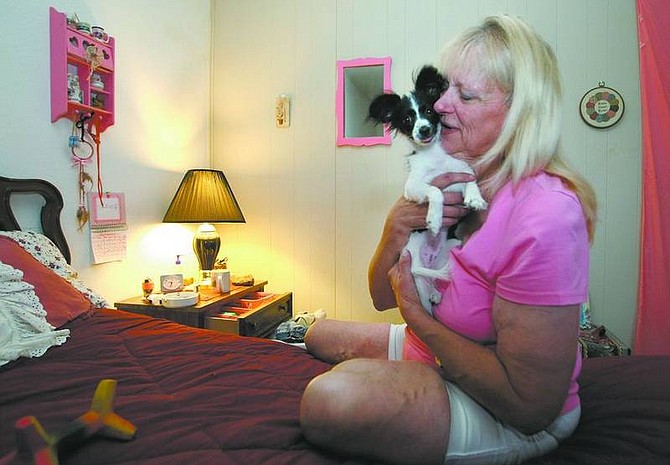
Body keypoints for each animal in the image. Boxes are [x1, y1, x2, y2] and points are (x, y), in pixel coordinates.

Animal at [368, 65, 488, 314]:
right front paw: (434, 218)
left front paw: (475, 198)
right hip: (415, 272)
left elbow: (470, 176)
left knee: (433, 278)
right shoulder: (413, 187)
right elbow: (435, 191)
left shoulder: (458, 171)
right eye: (407, 119)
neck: (435, 157)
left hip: (452, 247)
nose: (423, 130)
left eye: (429, 111)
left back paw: (435, 290)